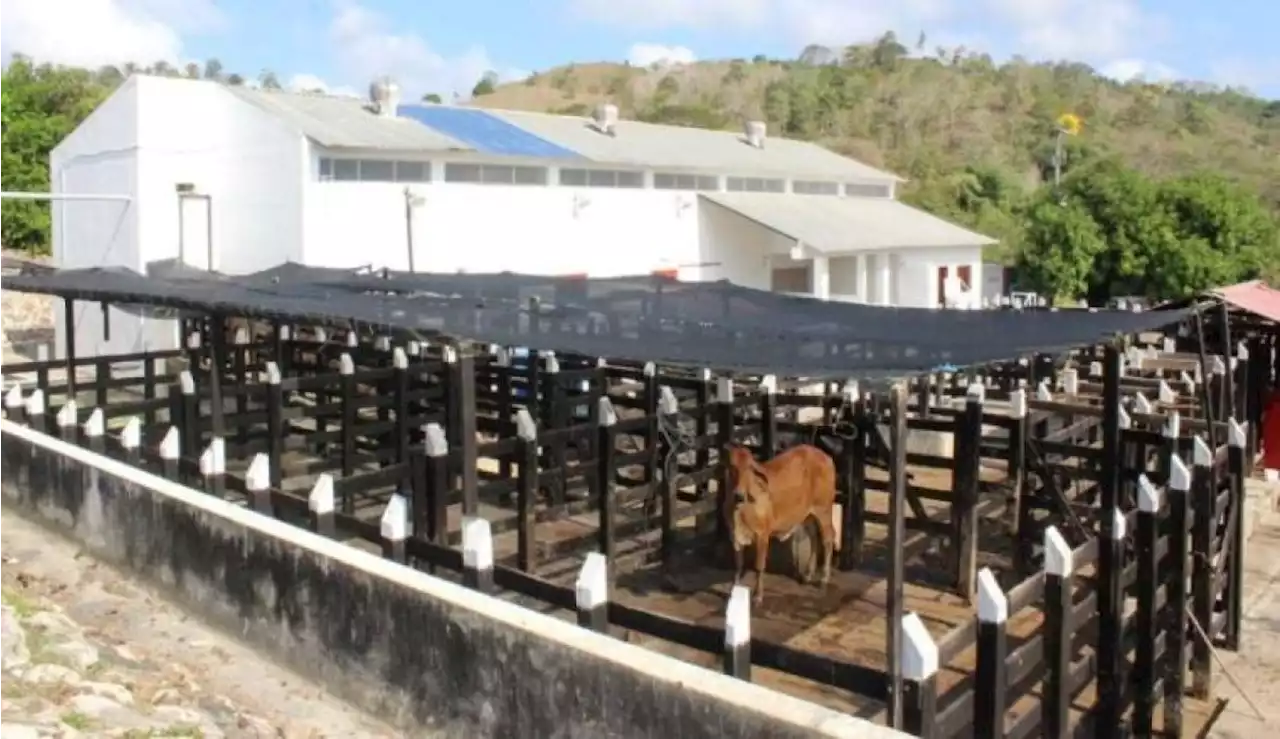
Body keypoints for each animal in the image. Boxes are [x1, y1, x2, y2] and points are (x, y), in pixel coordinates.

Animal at [721, 440, 839, 601]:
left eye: (750, 468)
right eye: (732, 466)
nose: (739, 495)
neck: (740, 510)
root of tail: (826, 457)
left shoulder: (762, 536)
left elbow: (759, 566)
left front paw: (758, 596)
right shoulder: (734, 536)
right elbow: (738, 565)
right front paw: (734, 592)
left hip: (824, 510)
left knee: (828, 538)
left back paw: (824, 579)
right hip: (807, 514)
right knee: (814, 536)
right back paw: (808, 575)